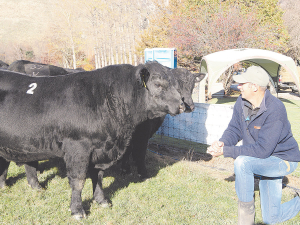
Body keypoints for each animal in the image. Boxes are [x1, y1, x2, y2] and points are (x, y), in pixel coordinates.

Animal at [0, 61, 185, 218]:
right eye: (158, 84)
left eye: (175, 84)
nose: (182, 105)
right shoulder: (77, 148)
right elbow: (78, 181)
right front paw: (77, 210)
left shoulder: (101, 150)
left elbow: (99, 177)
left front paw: (101, 200)